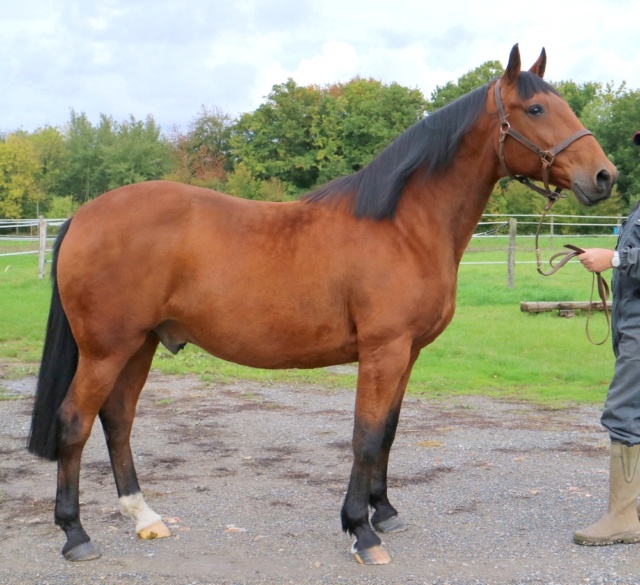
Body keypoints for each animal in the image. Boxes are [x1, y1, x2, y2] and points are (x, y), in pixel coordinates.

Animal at [28, 45, 616, 564]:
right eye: (536, 109)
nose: (604, 176)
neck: (403, 227)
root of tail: (85, 215)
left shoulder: (407, 353)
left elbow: (389, 431)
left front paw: (384, 512)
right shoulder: (383, 351)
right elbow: (366, 435)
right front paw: (361, 530)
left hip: (141, 345)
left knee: (118, 419)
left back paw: (144, 516)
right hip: (106, 350)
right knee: (75, 422)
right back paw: (75, 535)